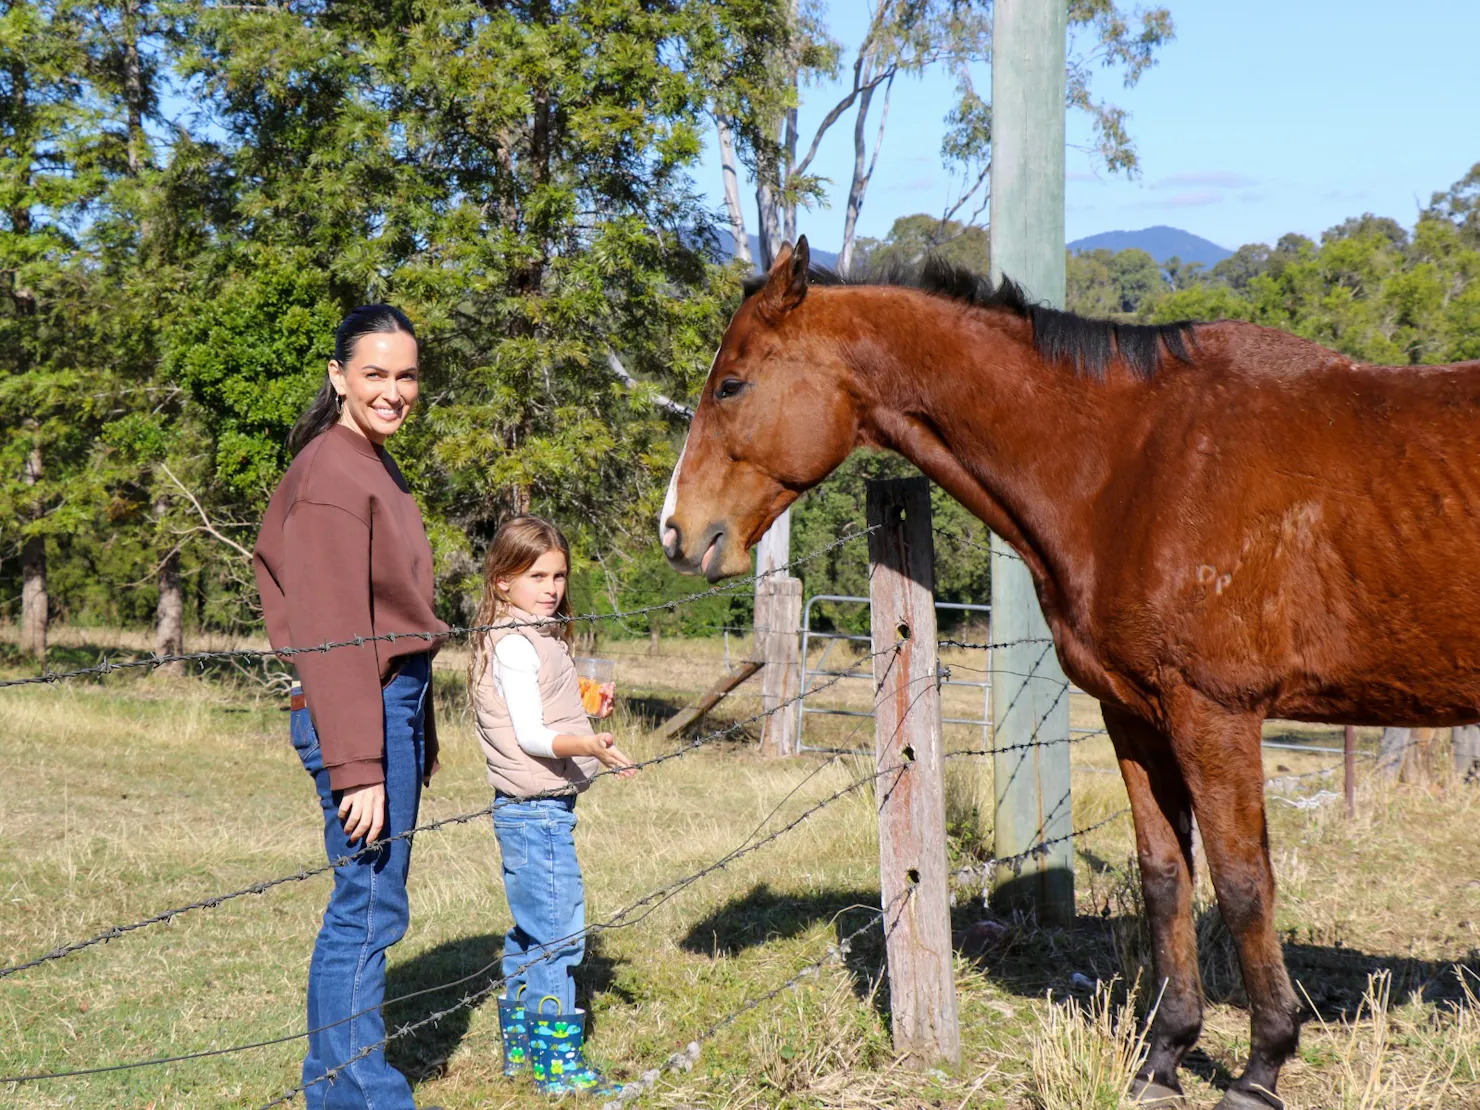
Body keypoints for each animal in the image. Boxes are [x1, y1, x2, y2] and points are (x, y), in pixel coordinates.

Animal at [658, 237, 1480, 1109]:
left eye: (731, 384)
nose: (677, 532)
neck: (1136, 462)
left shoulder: (1215, 712)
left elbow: (1243, 883)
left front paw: (1261, 1066)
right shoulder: (1137, 712)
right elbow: (1166, 877)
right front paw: (1164, 1056)